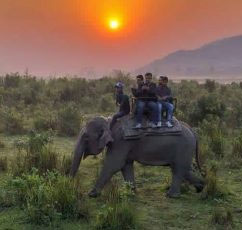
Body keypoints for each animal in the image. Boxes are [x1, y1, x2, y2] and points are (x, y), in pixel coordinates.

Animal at [70, 117, 204, 198]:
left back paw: (171, 195)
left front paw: (91, 194)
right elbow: (126, 165)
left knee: (178, 169)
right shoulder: (123, 144)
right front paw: (131, 193)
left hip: (183, 147)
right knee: (184, 170)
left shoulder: (121, 141)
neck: (109, 121)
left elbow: (114, 164)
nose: (69, 183)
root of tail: (193, 131)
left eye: (86, 137)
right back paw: (200, 187)